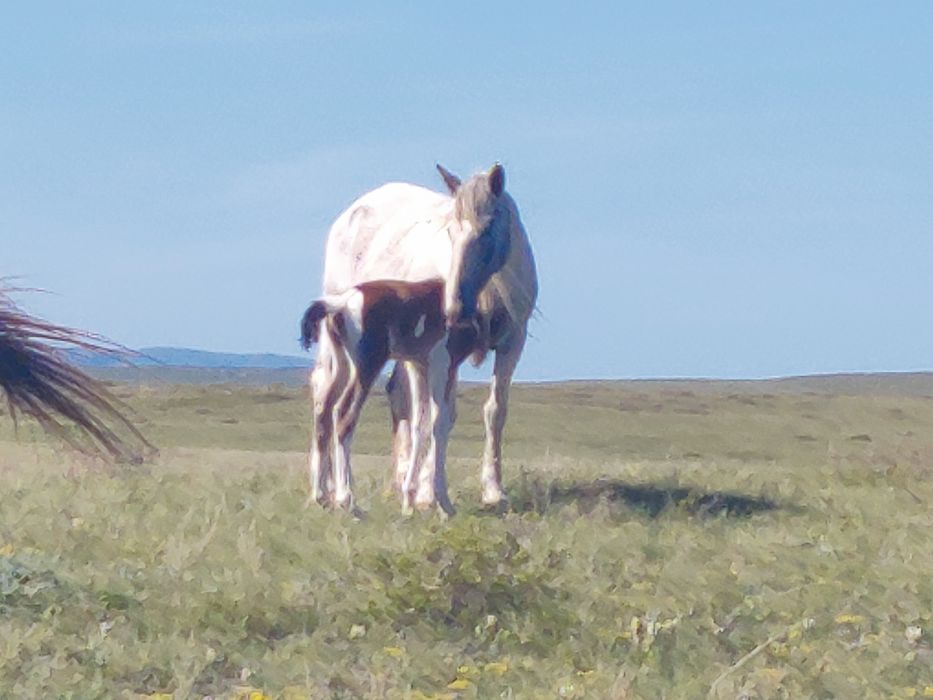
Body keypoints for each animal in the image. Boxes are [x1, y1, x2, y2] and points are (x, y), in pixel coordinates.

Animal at [300, 279, 479, 514]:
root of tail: (343, 303)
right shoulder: (441, 367)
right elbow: (439, 422)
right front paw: (442, 504)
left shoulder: (418, 367)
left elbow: (420, 423)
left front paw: (412, 500)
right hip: (366, 370)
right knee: (344, 415)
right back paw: (347, 500)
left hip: (340, 367)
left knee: (324, 414)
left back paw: (322, 497)